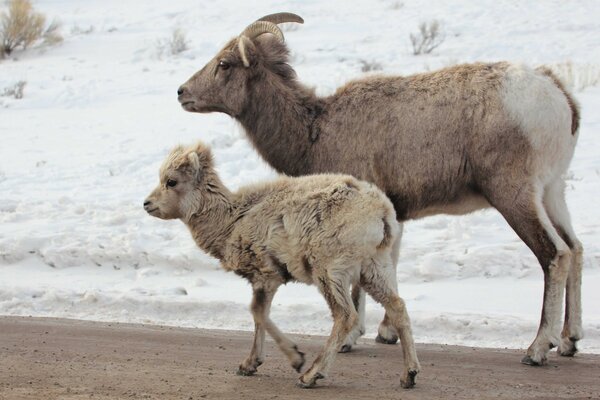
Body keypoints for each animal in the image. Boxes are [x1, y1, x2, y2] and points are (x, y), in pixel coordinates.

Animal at [143, 141, 420, 388]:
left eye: (171, 181)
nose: (147, 204)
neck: (232, 220)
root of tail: (382, 213)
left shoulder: (267, 275)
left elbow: (257, 312)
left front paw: (296, 359)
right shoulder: (261, 280)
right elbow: (259, 315)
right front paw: (249, 365)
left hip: (331, 271)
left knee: (345, 316)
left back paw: (311, 375)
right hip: (374, 269)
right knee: (398, 307)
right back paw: (409, 375)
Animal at [177, 10, 580, 368]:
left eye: (225, 63)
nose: (182, 92)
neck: (314, 130)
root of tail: (560, 98)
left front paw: (352, 339)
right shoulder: (394, 216)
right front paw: (386, 333)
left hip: (515, 196)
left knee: (554, 254)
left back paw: (537, 350)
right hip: (552, 192)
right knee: (575, 249)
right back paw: (569, 342)